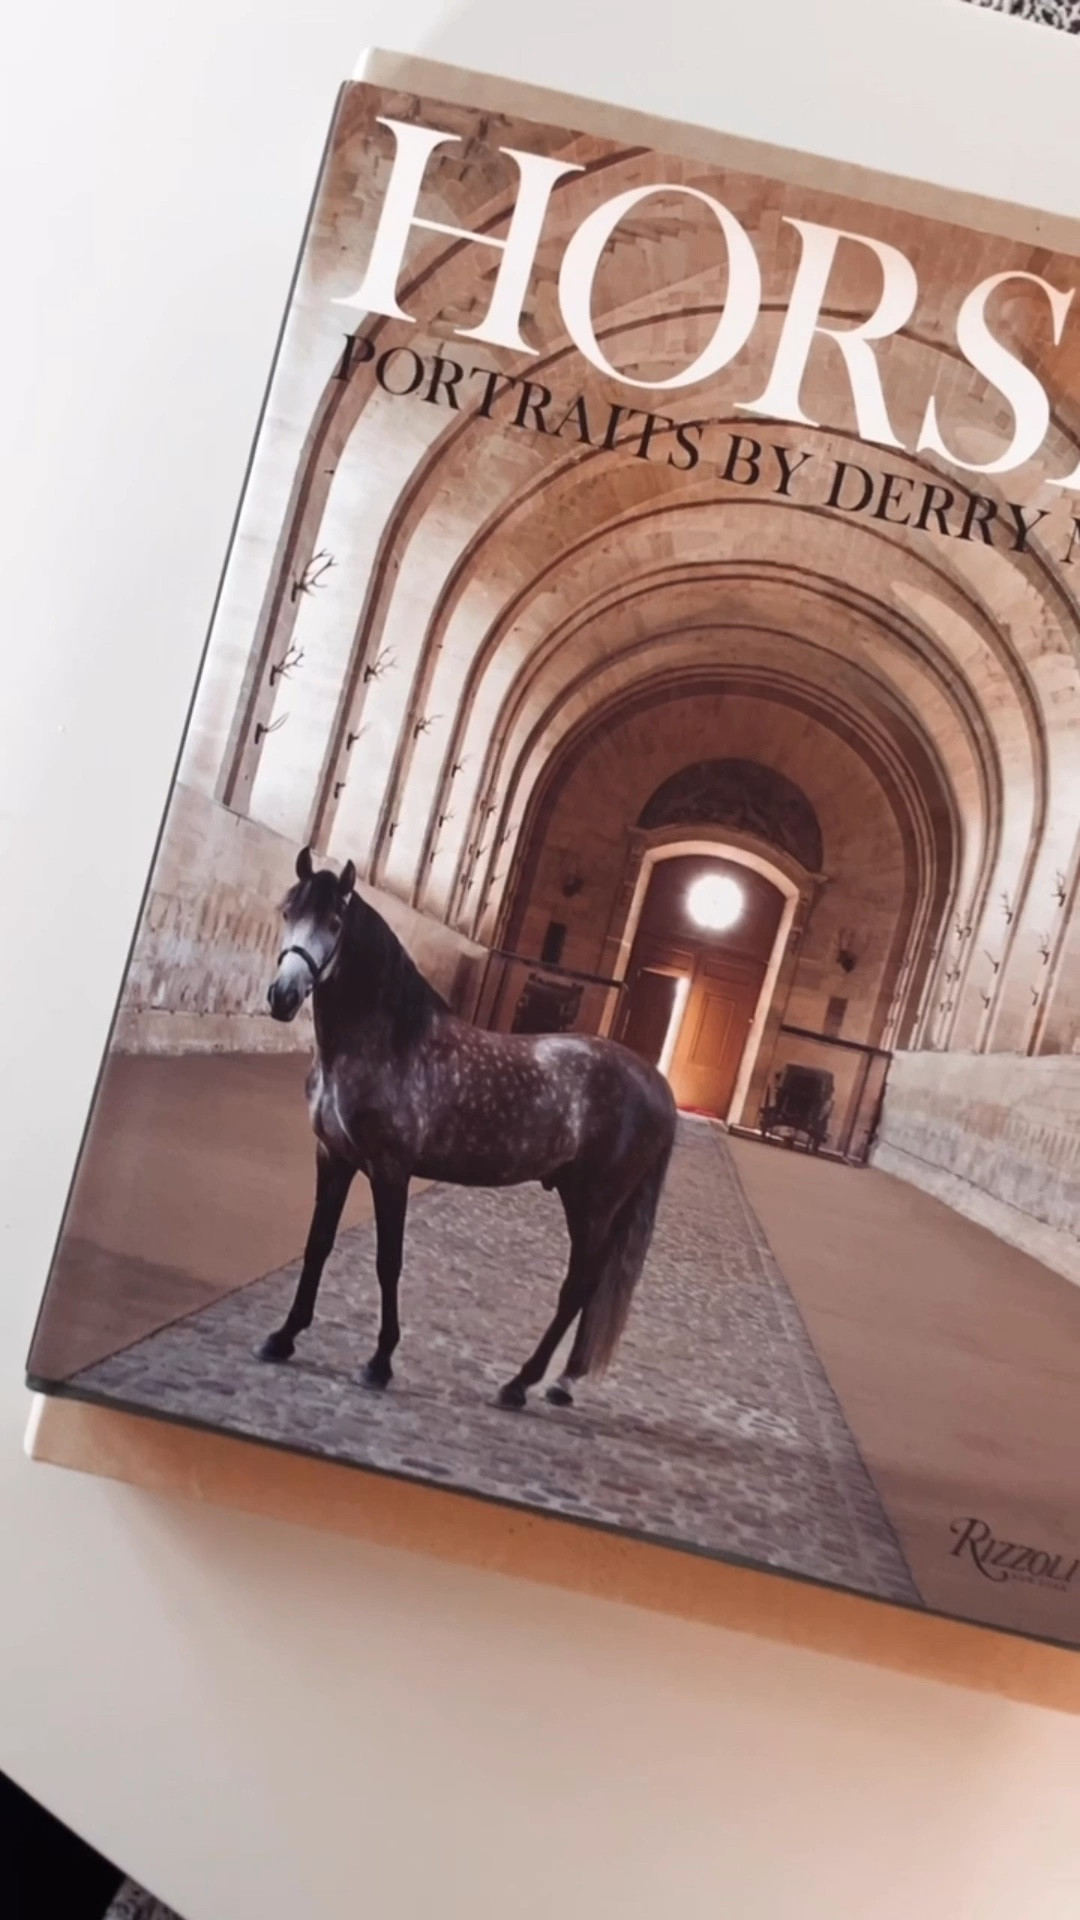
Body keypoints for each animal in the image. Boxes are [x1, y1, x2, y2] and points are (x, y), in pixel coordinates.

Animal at [260, 846, 677, 1409]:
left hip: (594, 1201)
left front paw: (379, 1363)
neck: (388, 1042)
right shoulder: (334, 1158)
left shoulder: (390, 1170)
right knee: (590, 1288)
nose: (282, 997)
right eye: (288, 911)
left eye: (335, 922)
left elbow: (388, 1261)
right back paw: (561, 1383)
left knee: (580, 1285)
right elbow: (318, 1243)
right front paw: (283, 1337)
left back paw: (520, 1384)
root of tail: (656, 1082)